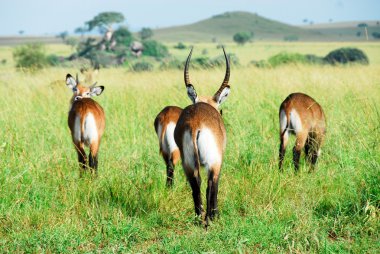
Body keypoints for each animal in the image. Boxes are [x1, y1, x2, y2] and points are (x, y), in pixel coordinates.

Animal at [174, 46, 230, 226]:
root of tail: (196, 123)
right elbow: (215, 185)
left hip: (188, 162)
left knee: (195, 183)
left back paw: (199, 217)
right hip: (213, 161)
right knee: (210, 184)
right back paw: (210, 219)